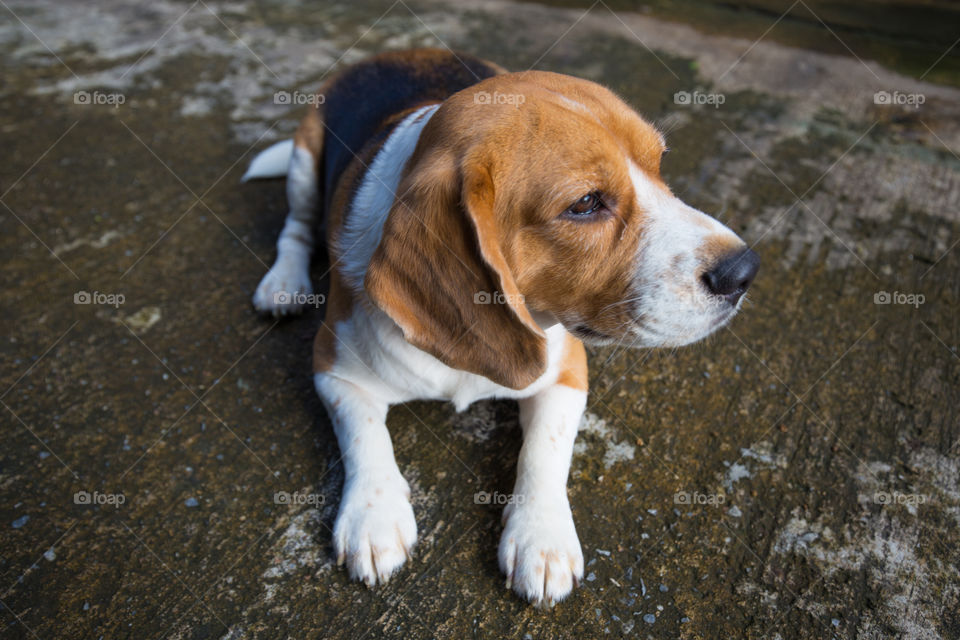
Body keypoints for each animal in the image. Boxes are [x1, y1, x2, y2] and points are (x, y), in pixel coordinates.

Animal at [246, 48, 756, 604]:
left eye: (660, 163)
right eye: (585, 204)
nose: (744, 271)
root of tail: (395, 52)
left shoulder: (567, 369)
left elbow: (544, 451)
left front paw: (542, 537)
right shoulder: (331, 368)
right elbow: (364, 434)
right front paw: (372, 517)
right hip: (303, 165)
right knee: (295, 230)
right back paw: (283, 285)